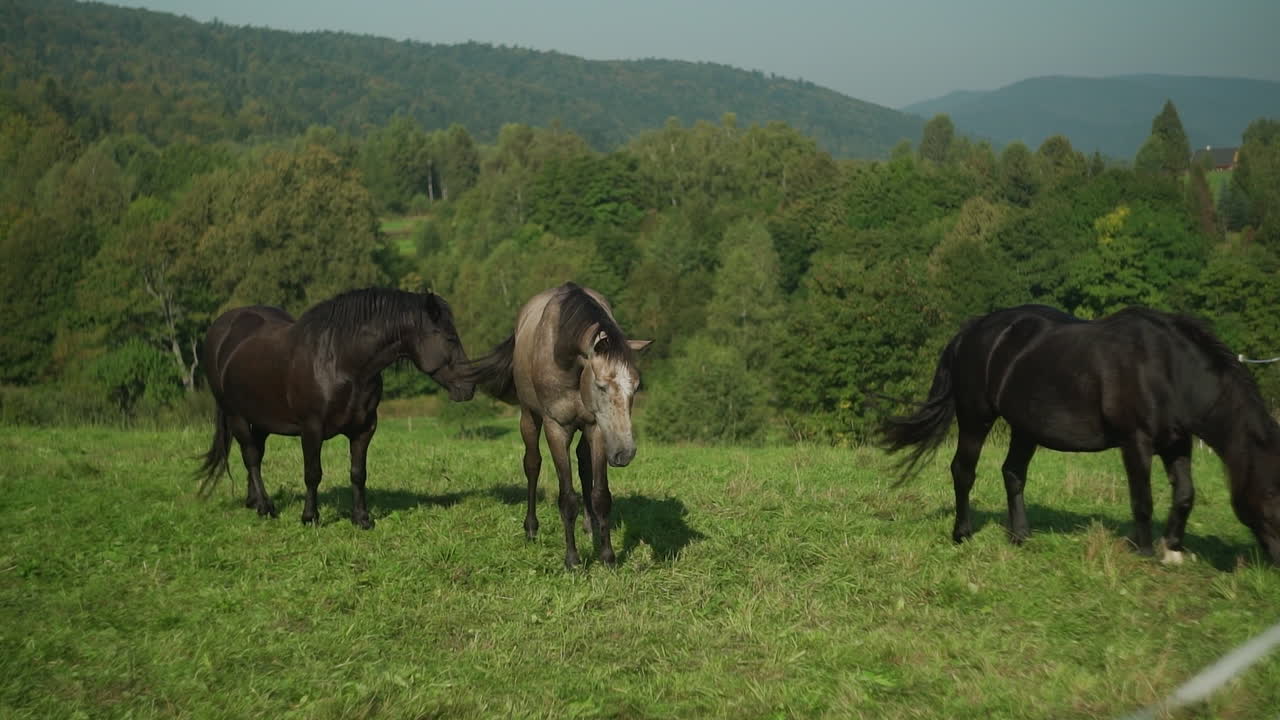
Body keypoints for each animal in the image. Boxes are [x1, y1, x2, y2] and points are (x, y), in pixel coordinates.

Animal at [197, 287, 474, 529]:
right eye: (450, 338)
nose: (468, 388)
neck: (340, 362)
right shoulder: (311, 429)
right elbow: (313, 473)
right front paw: (310, 517)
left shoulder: (364, 429)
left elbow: (358, 473)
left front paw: (362, 518)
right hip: (236, 416)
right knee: (251, 457)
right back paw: (266, 507)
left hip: (262, 419)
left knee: (256, 453)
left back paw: (254, 502)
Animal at [465, 283, 652, 568]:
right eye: (601, 385)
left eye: (636, 386)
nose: (625, 453)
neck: (566, 359)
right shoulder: (556, 428)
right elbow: (567, 498)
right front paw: (573, 560)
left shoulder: (597, 428)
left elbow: (600, 494)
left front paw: (607, 557)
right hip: (529, 418)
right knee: (532, 464)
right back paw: (531, 528)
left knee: (584, 465)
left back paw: (589, 526)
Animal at [880, 304, 1280, 567]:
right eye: (1272, 494)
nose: (1276, 563)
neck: (1167, 368)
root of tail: (970, 332)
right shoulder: (1136, 441)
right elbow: (1143, 499)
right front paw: (1146, 551)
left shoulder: (1177, 443)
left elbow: (1184, 495)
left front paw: (1174, 548)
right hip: (976, 417)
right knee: (963, 471)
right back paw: (962, 534)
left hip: (1025, 427)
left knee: (1013, 473)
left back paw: (1020, 535)